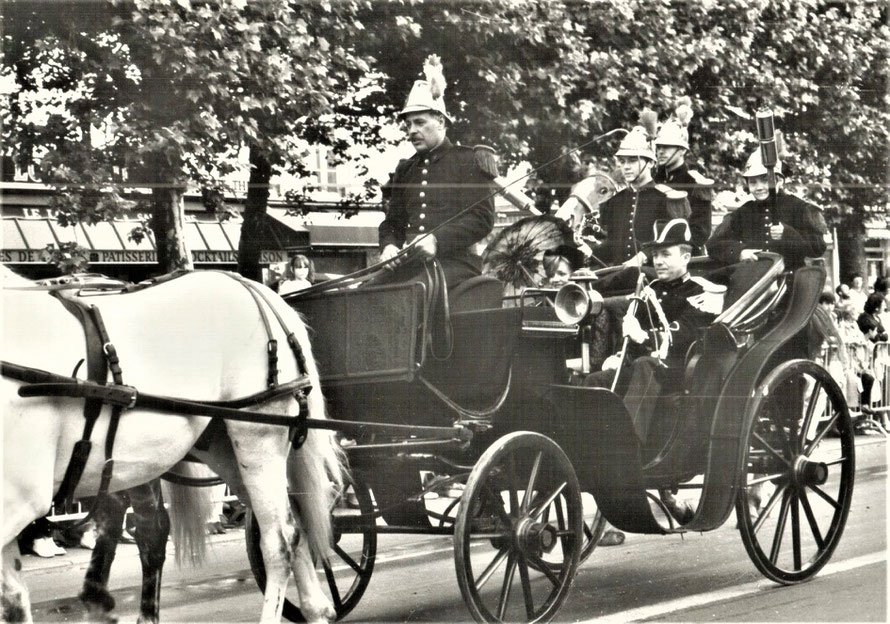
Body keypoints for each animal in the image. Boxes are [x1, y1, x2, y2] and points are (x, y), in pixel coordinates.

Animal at [0, 268, 344, 624]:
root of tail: (254, 287)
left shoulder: (19, 500)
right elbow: (14, 601)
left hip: (258, 440)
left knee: (279, 540)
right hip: (226, 449)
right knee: (294, 525)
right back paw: (316, 609)